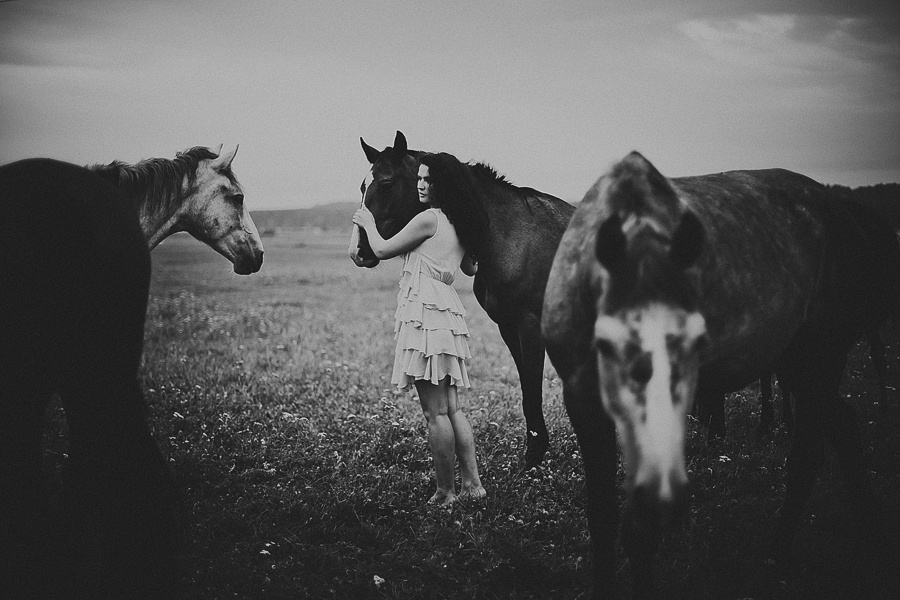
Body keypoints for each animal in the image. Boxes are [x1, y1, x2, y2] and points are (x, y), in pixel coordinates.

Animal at [541, 151, 900, 599]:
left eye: (696, 341)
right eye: (607, 343)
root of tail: (845, 213)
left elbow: (637, 528)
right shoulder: (583, 401)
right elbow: (603, 515)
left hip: (820, 358)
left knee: (807, 456)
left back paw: (776, 557)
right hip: (799, 365)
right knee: (845, 429)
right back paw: (870, 538)